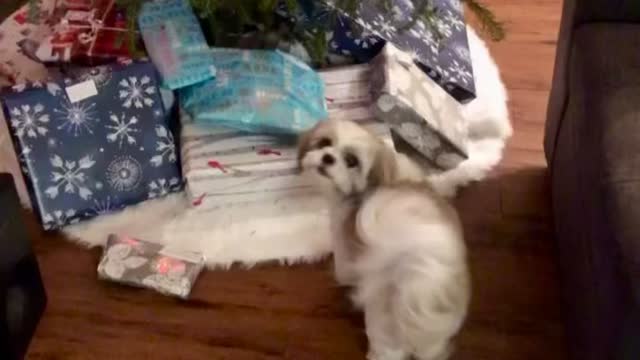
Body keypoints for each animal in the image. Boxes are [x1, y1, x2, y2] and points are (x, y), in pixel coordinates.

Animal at [296, 120, 470, 360]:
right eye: (324, 143)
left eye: (351, 161)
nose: (327, 157)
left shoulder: (344, 242)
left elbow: (343, 270)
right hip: (434, 334)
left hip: (382, 318)